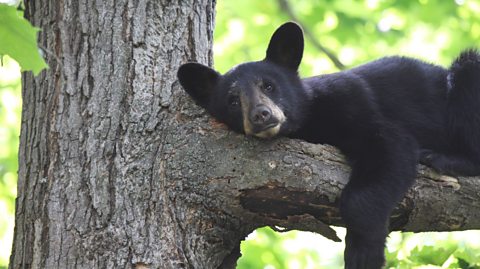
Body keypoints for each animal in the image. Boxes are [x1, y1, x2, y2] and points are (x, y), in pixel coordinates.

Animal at [176, 22, 480, 266]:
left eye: (269, 85)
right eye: (232, 100)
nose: (261, 115)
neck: (309, 121)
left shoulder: (352, 103)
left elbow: (391, 146)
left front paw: (363, 255)